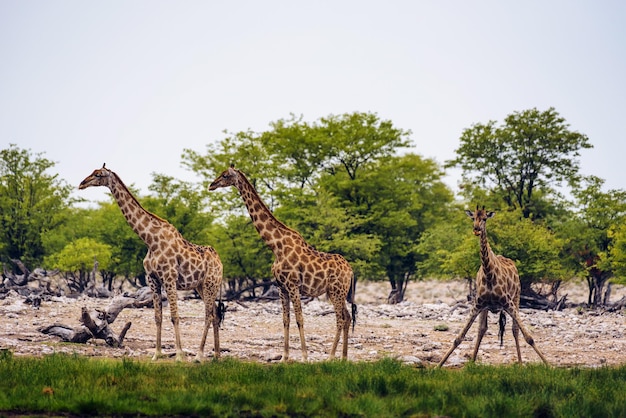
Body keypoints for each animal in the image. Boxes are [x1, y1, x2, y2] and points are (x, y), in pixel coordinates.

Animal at [79, 165, 223, 360]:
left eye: (98, 174)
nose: (81, 183)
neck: (150, 240)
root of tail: (220, 262)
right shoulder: (152, 279)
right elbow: (158, 317)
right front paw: (157, 354)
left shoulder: (169, 278)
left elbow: (174, 316)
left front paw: (179, 355)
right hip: (201, 286)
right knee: (215, 313)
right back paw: (216, 356)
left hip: (210, 284)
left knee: (208, 315)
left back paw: (199, 356)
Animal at [210, 165, 356, 360]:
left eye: (225, 175)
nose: (211, 185)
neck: (275, 246)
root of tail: (351, 270)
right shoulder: (281, 287)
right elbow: (285, 319)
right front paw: (285, 357)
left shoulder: (293, 285)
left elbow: (299, 318)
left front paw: (304, 356)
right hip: (338, 292)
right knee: (347, 317)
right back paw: (344, 357)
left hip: (336, 291)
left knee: (340, 319)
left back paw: (331, 356)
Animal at [436, 207, 548, 366]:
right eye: (473, 218)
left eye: (485, 218)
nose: (476, 229)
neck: (489, 274)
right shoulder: (477, 304)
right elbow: (459, 338)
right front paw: (438, 366)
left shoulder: (508, 303)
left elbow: (529, 337)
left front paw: (548, 365)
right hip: (486, 307)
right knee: (482, 329)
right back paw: (472, 362)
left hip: (516, 298)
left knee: (514, 329)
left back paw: (520, 363)